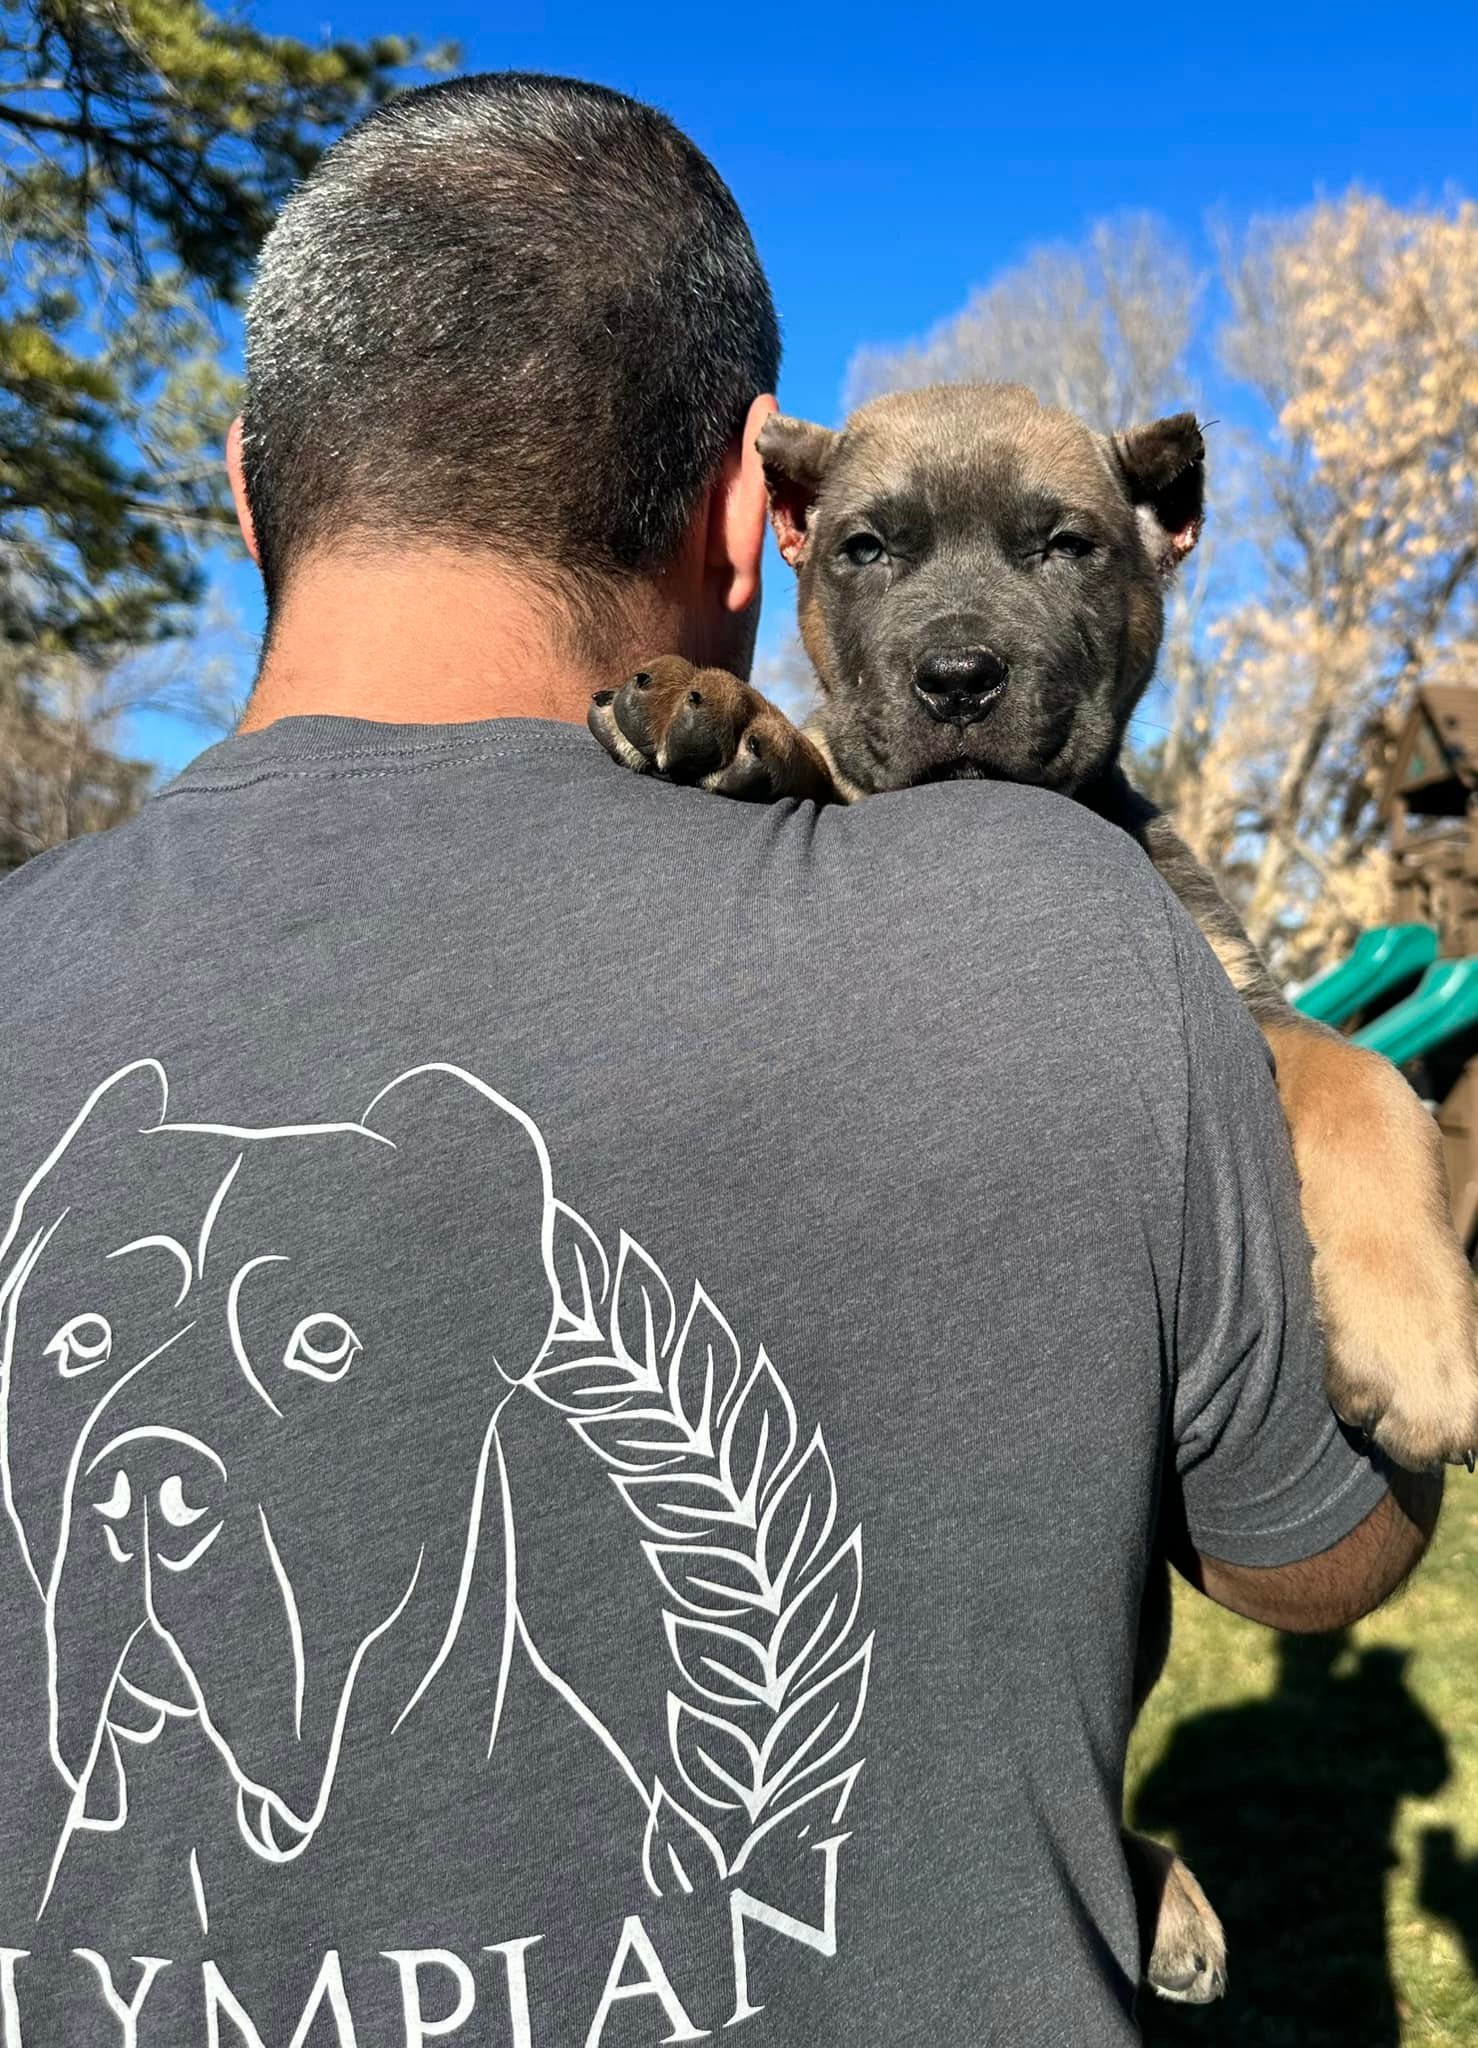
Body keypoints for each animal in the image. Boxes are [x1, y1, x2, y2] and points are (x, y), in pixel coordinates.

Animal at [589, 381, 1478, 2002]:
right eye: (864, 548)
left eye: (1063, 545)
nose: (953, 678)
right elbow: (817, 764)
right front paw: (724, 711)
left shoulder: (1247, 1002)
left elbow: (1366, 1081)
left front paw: (1420, 1344)